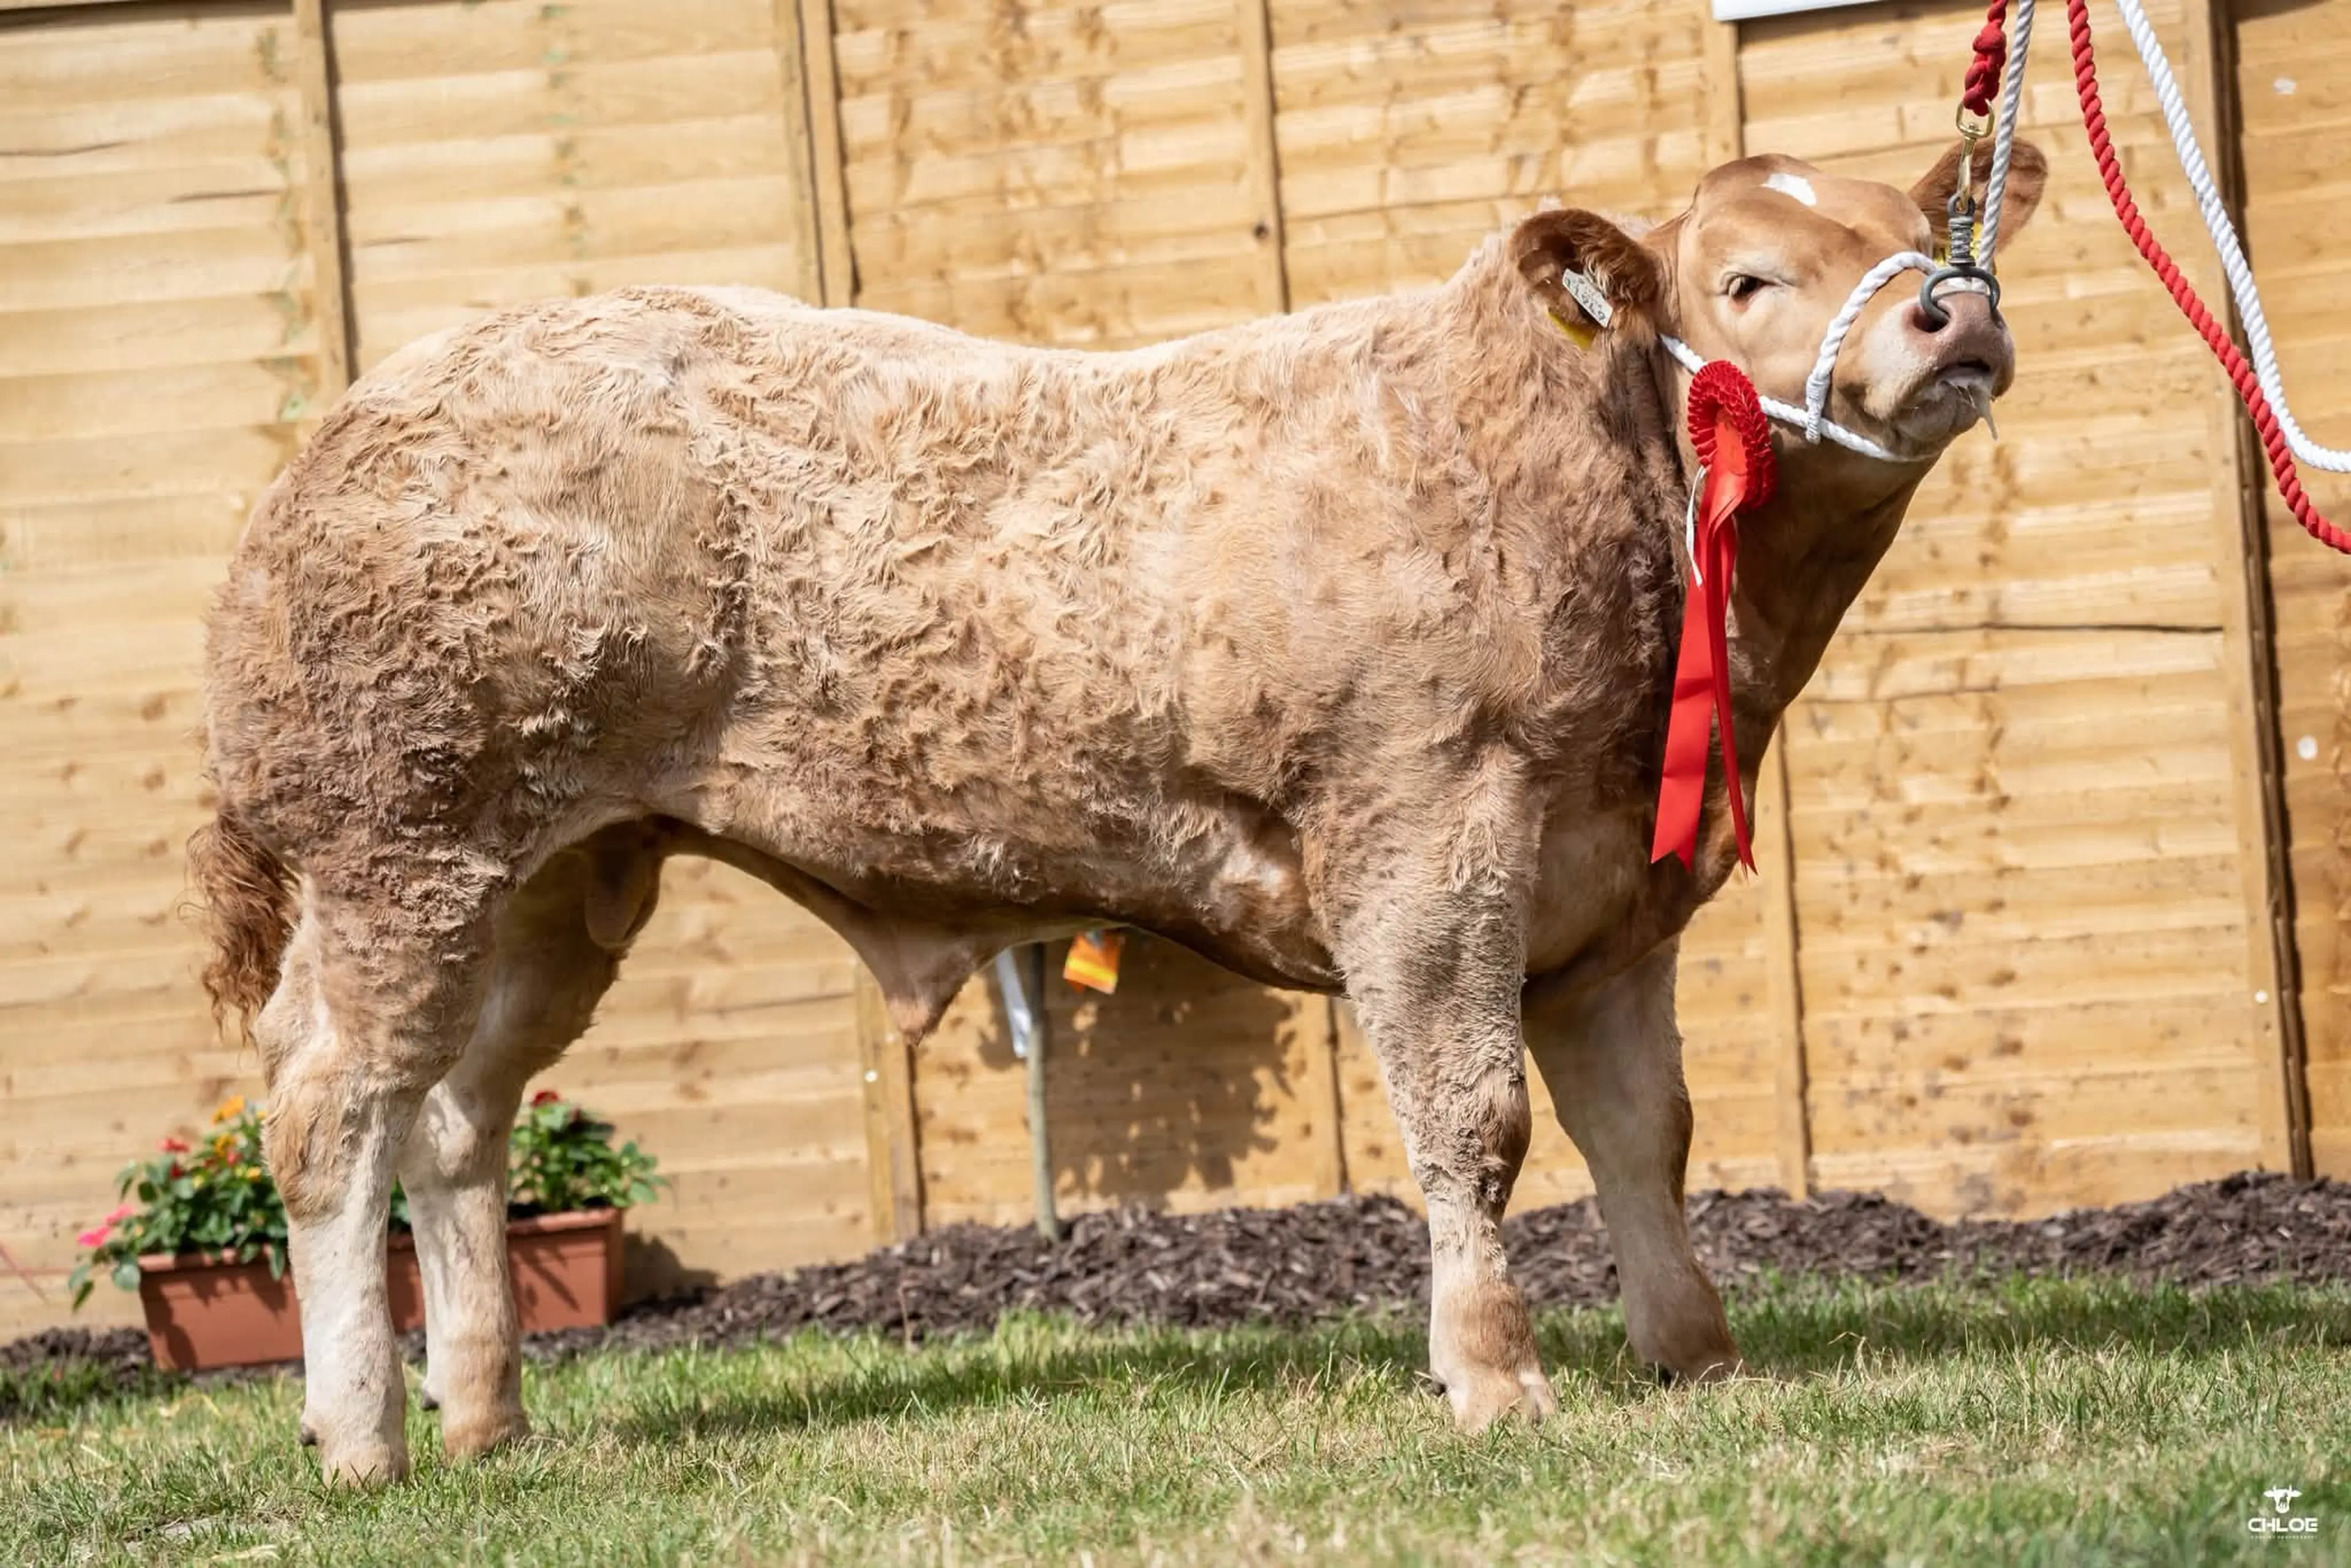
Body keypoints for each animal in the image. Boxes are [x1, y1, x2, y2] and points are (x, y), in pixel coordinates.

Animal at [191, 138, 2047, 1484]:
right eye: (1744, 275)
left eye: (1924, 229)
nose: (1951, 314)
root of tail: (348, 423)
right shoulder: (1426, 838)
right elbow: (1474, 1123)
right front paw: (1496, 1381)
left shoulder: (1613, 894)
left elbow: (1642, 1129)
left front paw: (1698, 1359)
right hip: (399, 844)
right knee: (330, 1109)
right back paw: (360, 1440)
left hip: (557, 873)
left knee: (457, 1119)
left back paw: (487, 1417)